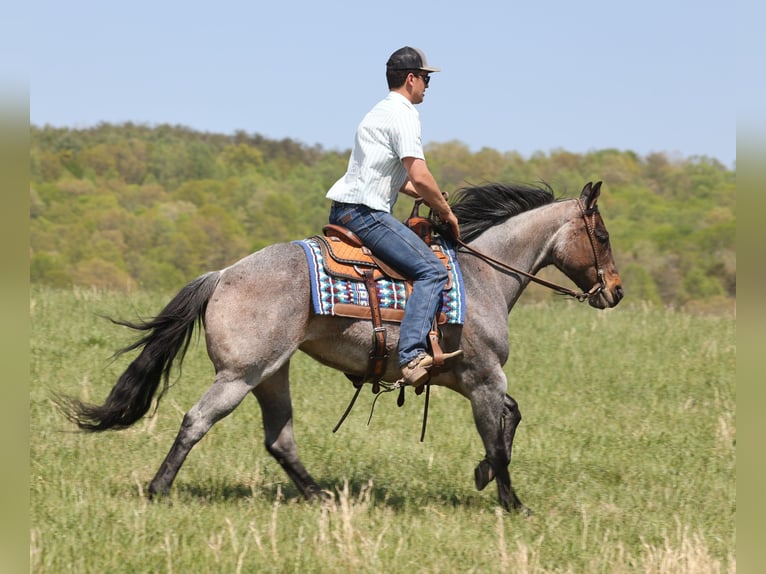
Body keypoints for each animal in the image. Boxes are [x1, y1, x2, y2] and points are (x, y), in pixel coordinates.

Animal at [58, 180, 624, 512]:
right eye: (602, 236)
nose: (616, 292)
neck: (482, 275)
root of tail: (222, 274)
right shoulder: (484, 376)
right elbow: (498, 438)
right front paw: (511, 501)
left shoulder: (468, 379)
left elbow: (511, 417)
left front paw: (485, 476)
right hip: (239, 376)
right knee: (197, 421)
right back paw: (159, 490)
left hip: (271, 374)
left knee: (280, 440)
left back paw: (321, 497)